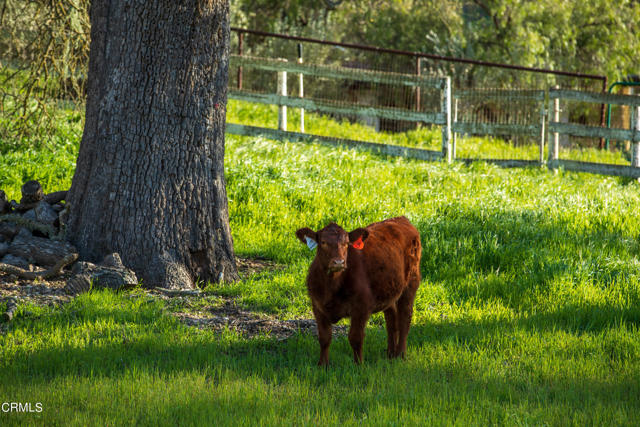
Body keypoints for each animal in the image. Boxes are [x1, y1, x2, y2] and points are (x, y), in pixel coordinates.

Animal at [294, 216, 420, 366]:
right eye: (323, 242)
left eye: (346, 243)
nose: (339, 262)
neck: (331, 287)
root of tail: (401, 219)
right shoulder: (317, 306)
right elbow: (324, 338)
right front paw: (323, 365)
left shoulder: (361, 307)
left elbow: (355, 337)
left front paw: (359, 364)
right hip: (390, 290)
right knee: (391, 320)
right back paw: (390, 354)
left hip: (411, 283)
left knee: (405, 318)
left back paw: (400, 354)